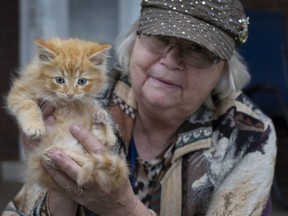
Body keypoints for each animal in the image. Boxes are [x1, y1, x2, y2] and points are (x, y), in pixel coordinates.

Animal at [6, 38, 128, 190]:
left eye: (82, 81)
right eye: (59, 80)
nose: (70, 94)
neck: (66, 103)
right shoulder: (21, 92)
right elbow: (29, 106)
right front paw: (35, 127)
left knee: (104, 143)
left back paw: (99, 122)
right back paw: (53, 154)